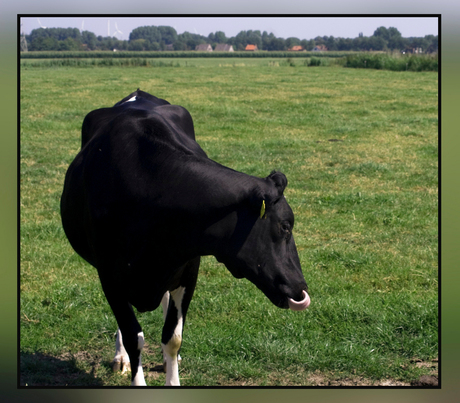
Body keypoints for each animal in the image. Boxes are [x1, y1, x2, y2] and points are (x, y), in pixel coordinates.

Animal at [60, 90, 310, 386]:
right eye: (285, 226)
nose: (301, 289)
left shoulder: (188, 269)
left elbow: (172, 337)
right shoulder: (110, 276)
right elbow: (133, 336)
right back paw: (120, 357)